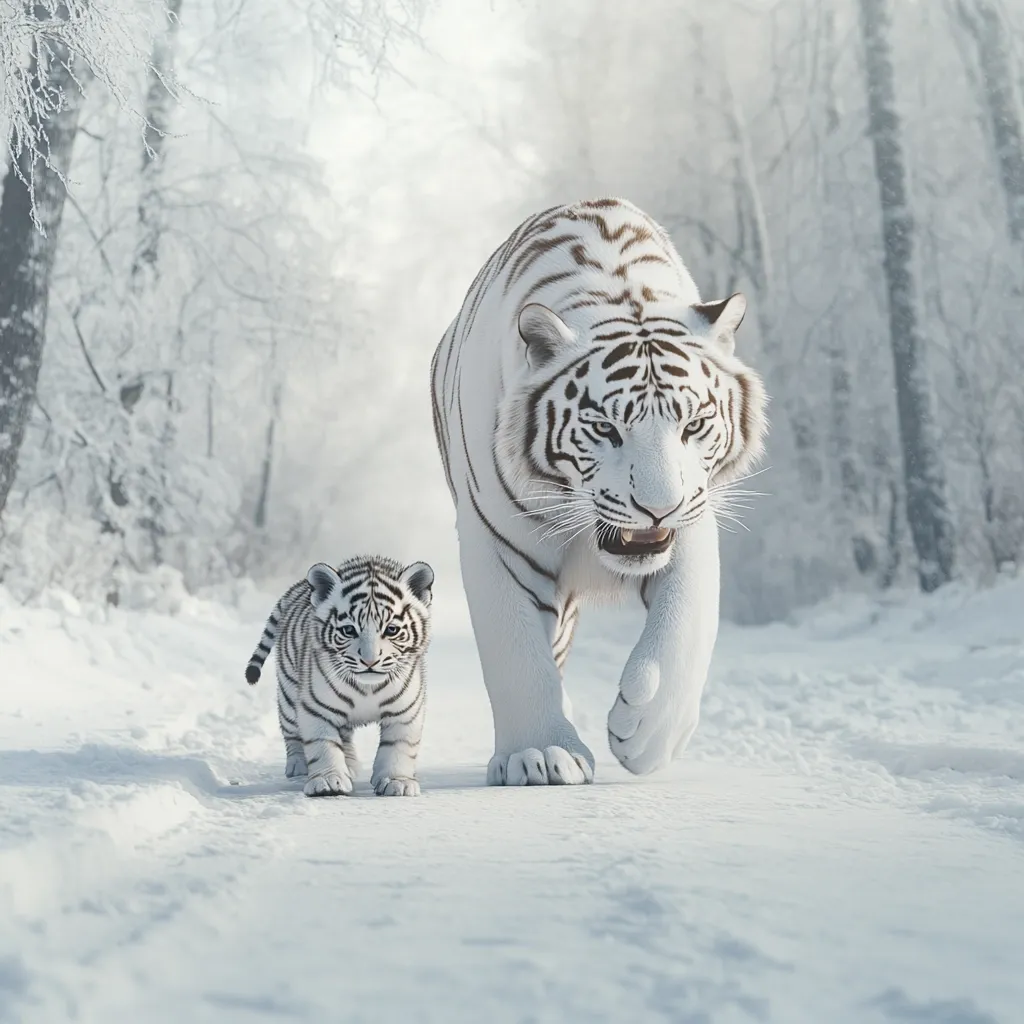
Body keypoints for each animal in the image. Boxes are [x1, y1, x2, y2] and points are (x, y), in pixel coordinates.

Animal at [245, 555, 434, 797]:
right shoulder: (317, 709)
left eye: (391, 630)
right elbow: (323, 745)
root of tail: (300, 585)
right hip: (288, 696)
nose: (370, 661)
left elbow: (398, 747)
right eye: (349, 630)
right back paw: (298, 766)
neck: (368, 688)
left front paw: (397, 781)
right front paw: (328, 781)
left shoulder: (404, 711)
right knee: (292, 734)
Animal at [430, 197, 768, 787]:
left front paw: (647, 733)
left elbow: (687, 624)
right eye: (606, 428)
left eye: (694, 425)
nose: (658, 508)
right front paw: (539, 752)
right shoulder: (495, 540)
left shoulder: (693, 523)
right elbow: (516, 651)